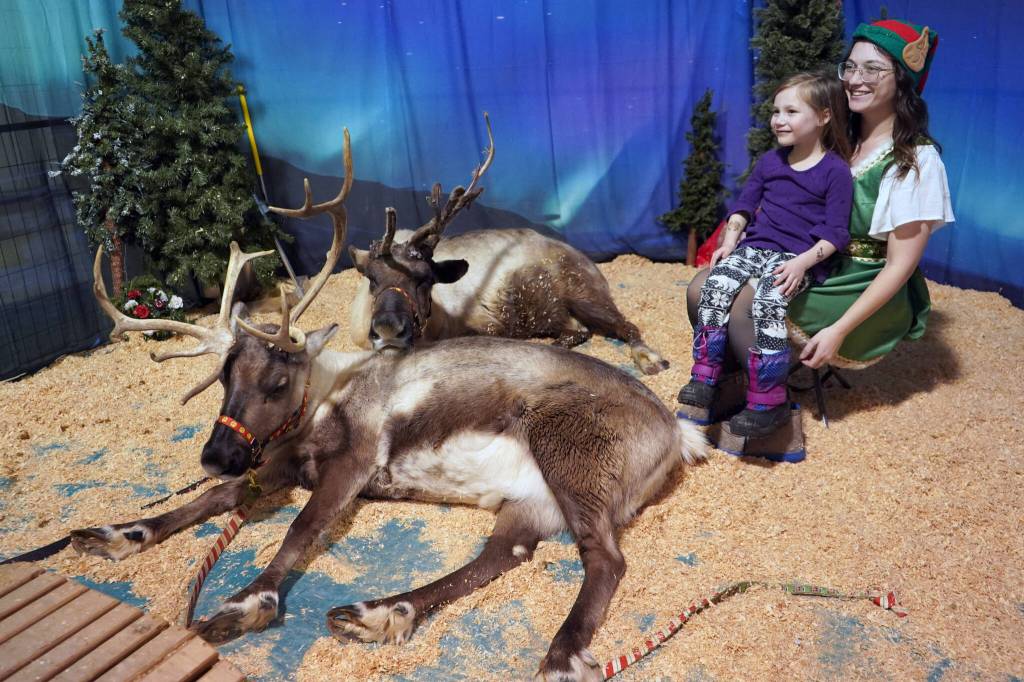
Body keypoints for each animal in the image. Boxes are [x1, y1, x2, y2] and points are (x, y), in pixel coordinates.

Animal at [342, 113, 670, 376]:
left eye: (426, 279)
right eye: (371, 278)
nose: (388, 329)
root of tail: (589, 262)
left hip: (585, 296)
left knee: (624, 325)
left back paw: (650, 359)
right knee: (578, 330)